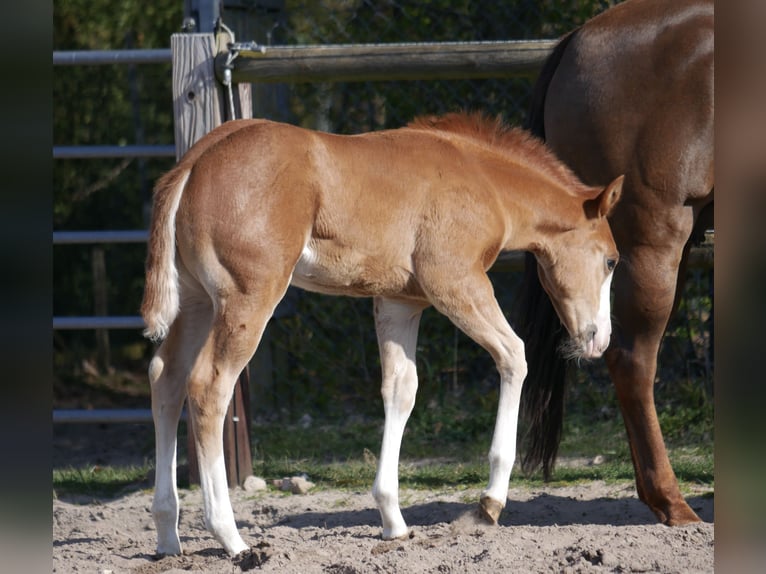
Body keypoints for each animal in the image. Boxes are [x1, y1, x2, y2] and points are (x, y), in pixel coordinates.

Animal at [141, 111, 623, 556]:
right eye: (611, 260)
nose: (599, 340)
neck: (485, 181)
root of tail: (194, 163)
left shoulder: (399, 301)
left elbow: (400, 389)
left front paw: (393, 519)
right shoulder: (455, 281)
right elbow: (514, 356)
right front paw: (489, 505)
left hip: (198, 302)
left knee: (166, 378)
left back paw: (168, 534)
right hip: (248, 297)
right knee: (209, 387)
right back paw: (231, 538)